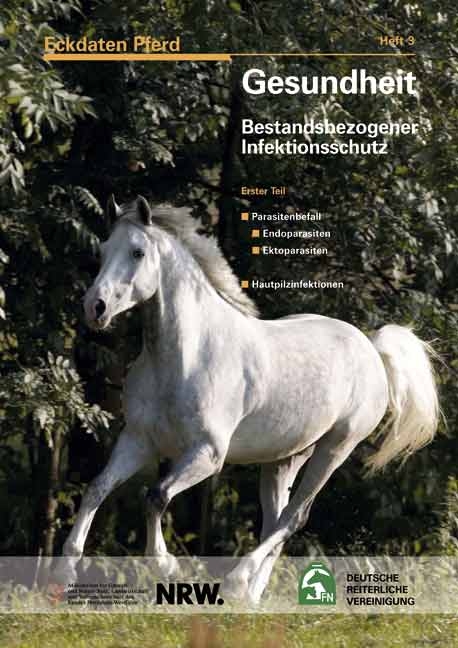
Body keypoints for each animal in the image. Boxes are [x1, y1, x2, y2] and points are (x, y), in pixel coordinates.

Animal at [56, 194, 439, 603]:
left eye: (137, 252)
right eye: (103, 250)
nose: (95, 307)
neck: (185, 356)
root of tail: (371, 346)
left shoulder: (207, 454)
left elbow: (155, 496)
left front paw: (165, 565)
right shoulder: (140, 440)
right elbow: (97, 488)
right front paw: (64, 571)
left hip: (336, 448)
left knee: (294, 518)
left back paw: (236, 583)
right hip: (286, 457)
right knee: (276, 518)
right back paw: (251, 596)